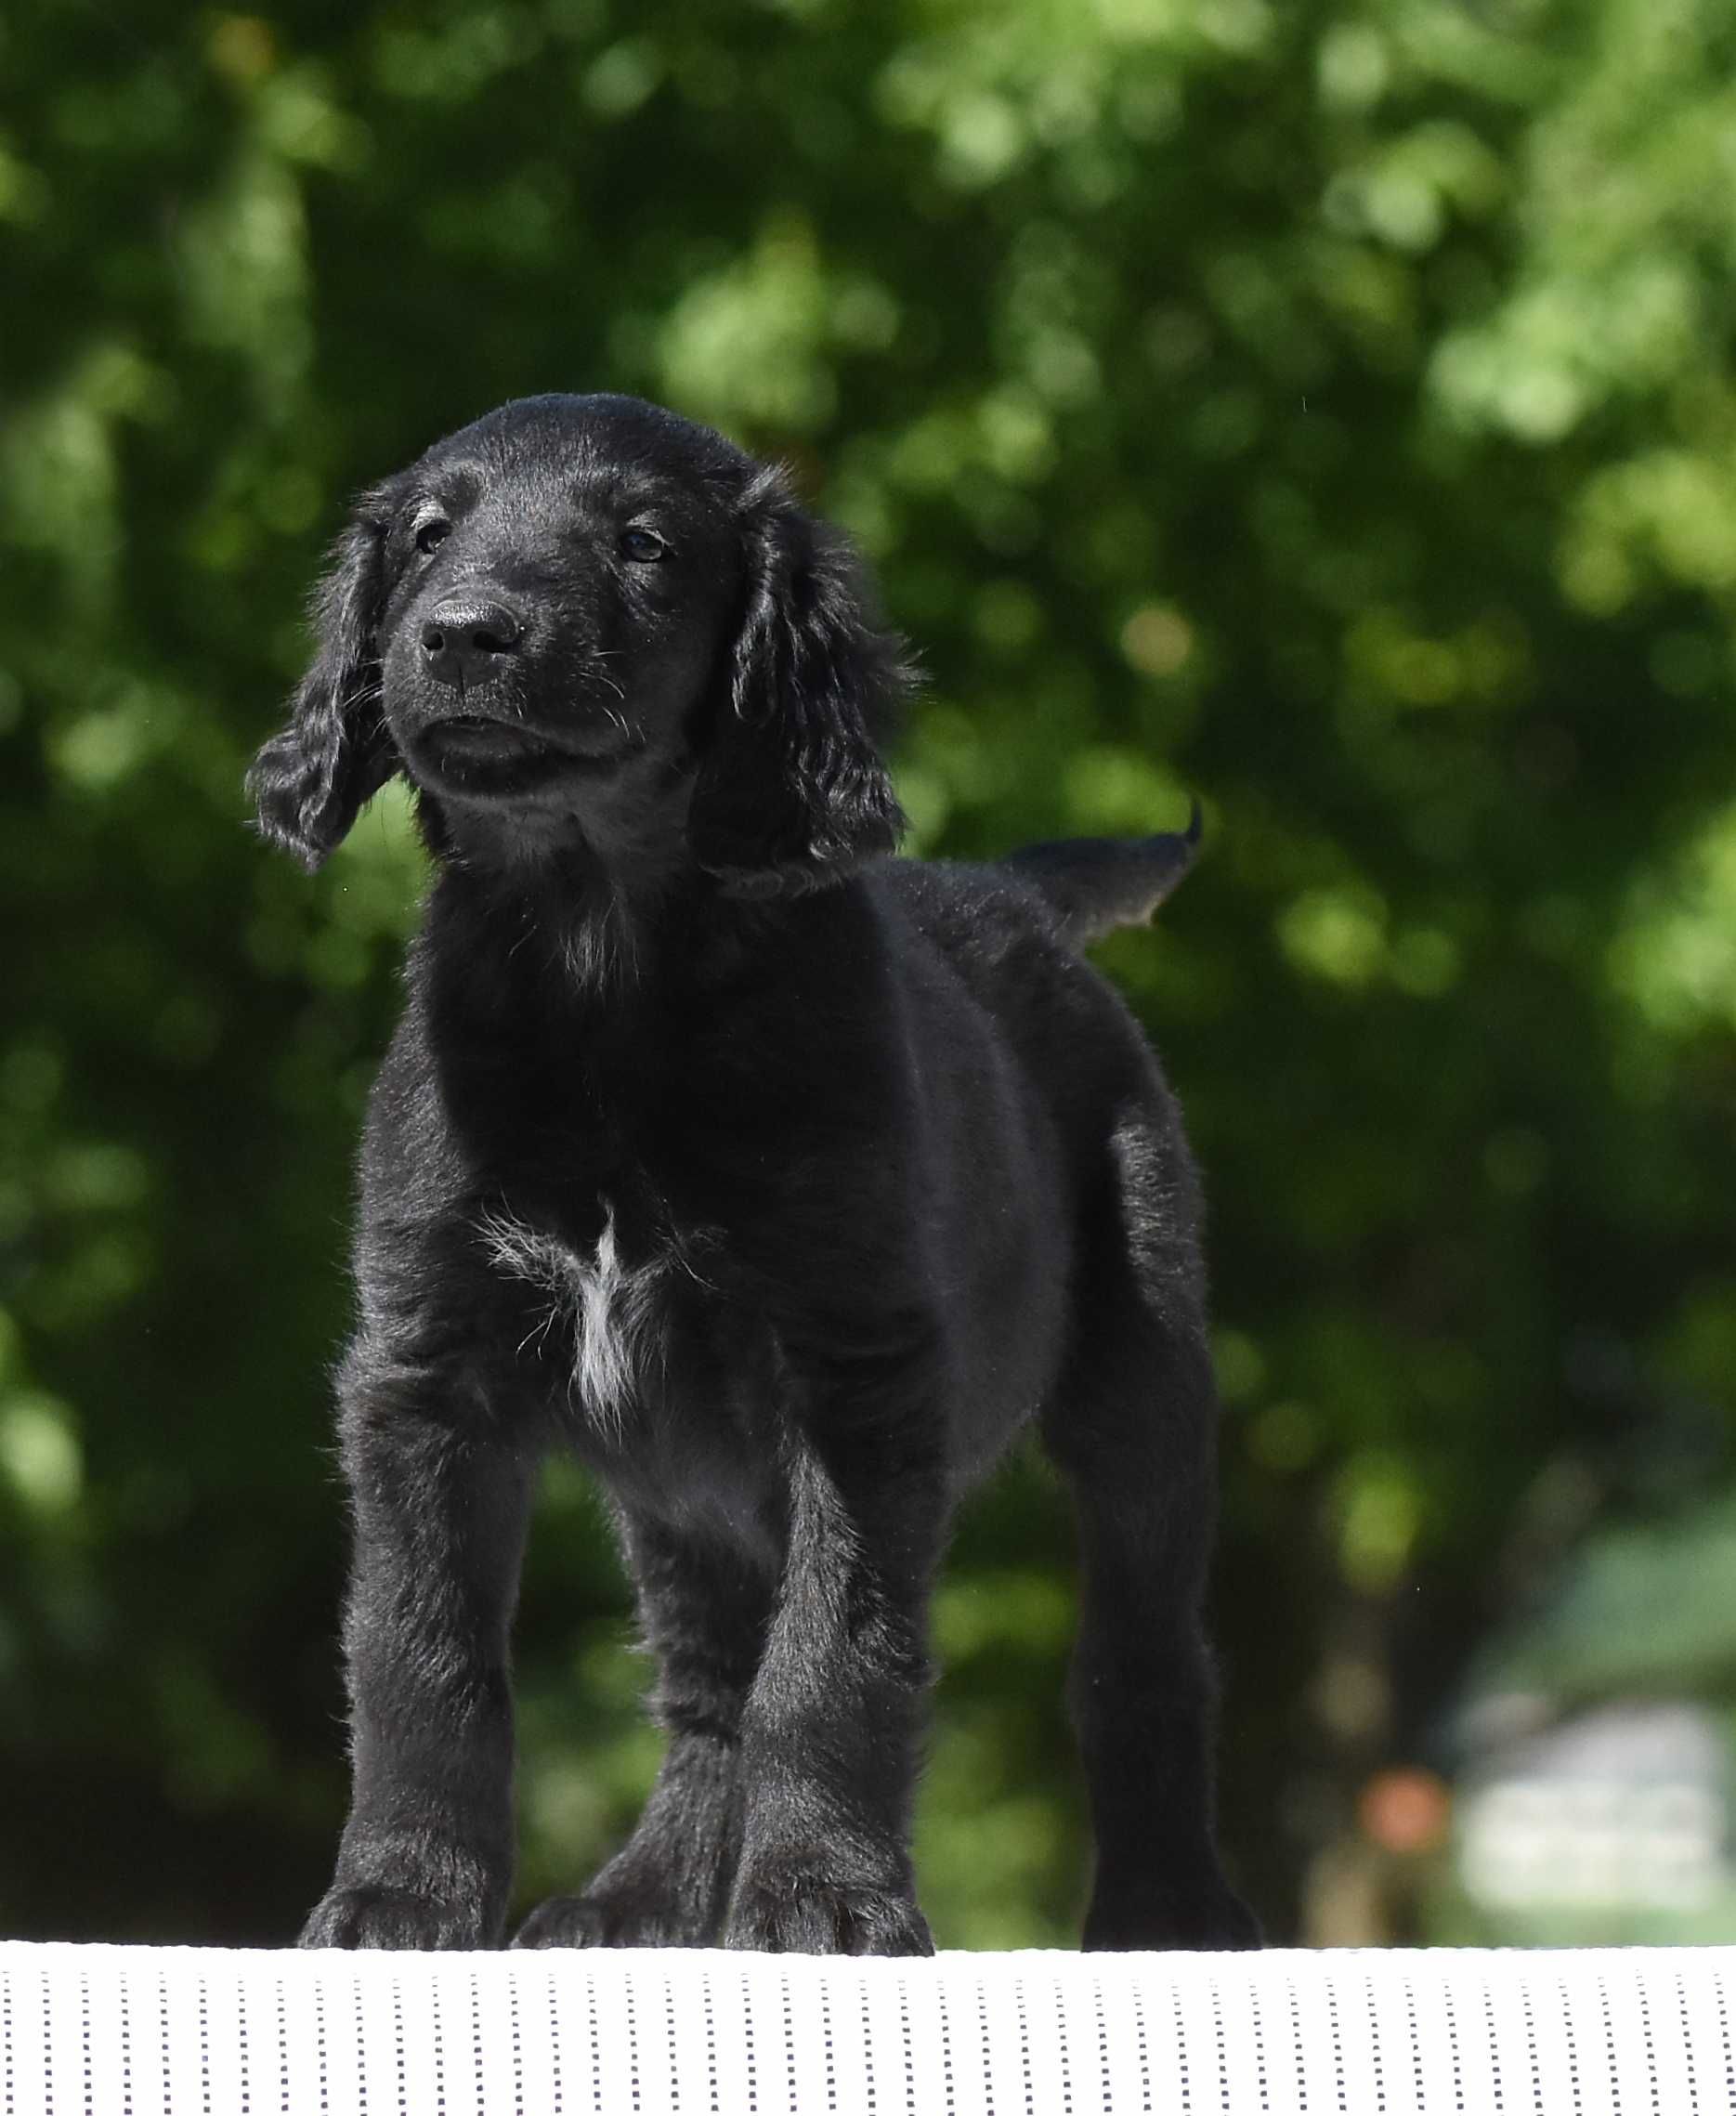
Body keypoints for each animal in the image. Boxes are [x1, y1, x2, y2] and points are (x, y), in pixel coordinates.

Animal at [251, 393, 1253, 1946]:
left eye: (646, 545)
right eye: (425, 534)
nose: (466, 635)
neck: (601, 969)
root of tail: (1013, 897)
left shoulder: (856, 1372)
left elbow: (836, 1653)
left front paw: (824, 1893)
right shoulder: (425, 1371)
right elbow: (421, 1651)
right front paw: (396, 1894)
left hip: (1141, 1381)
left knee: (1143, 1657)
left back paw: (1168, 1906)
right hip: (680, 1488)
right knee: (707, 1686)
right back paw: (642, 1896)